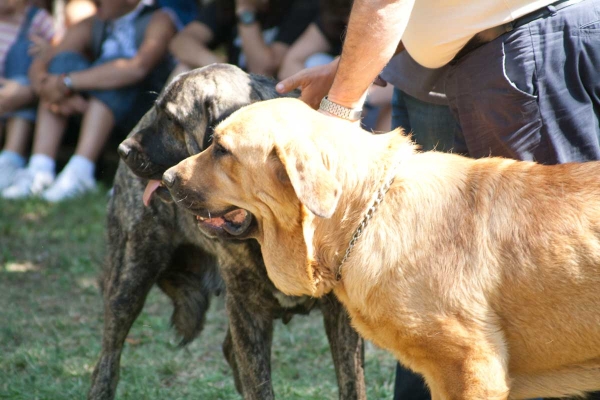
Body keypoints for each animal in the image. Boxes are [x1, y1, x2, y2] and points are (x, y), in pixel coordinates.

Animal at [86, 64, 364, 398]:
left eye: (172, 120)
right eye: (159, 113)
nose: (123, 149)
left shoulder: (342, 316)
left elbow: (352, 384)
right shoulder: (246, 309)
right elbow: (259, 384)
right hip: (130, 276)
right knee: (108, 358)